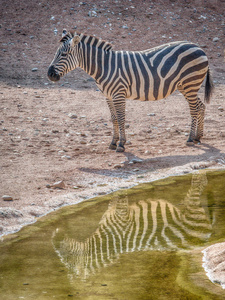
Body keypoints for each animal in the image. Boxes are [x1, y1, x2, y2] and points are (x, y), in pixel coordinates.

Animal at [48, 29, 214, 152]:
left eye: (64, 54)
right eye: (55, 54)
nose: (49, 74)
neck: (104, 66)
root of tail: (198, 47)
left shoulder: (119, 94)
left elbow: (121, 118)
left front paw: (121, 144)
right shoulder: (108, 96)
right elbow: (114, 118)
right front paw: (113, 142)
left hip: (190, 83)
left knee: (194, 109)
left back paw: (190, 138)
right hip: (185, 86)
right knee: (200, 106)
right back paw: (198, 137)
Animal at [52, 171, 213, 278]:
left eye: (66, 258)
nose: (54, 236)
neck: (105, 240)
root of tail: (205, 239)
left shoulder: (122, 214)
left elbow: (120, 196)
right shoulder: (114, 210)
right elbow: (114, 198)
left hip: (193, 214)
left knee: (196, 190)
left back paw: (200, 176)